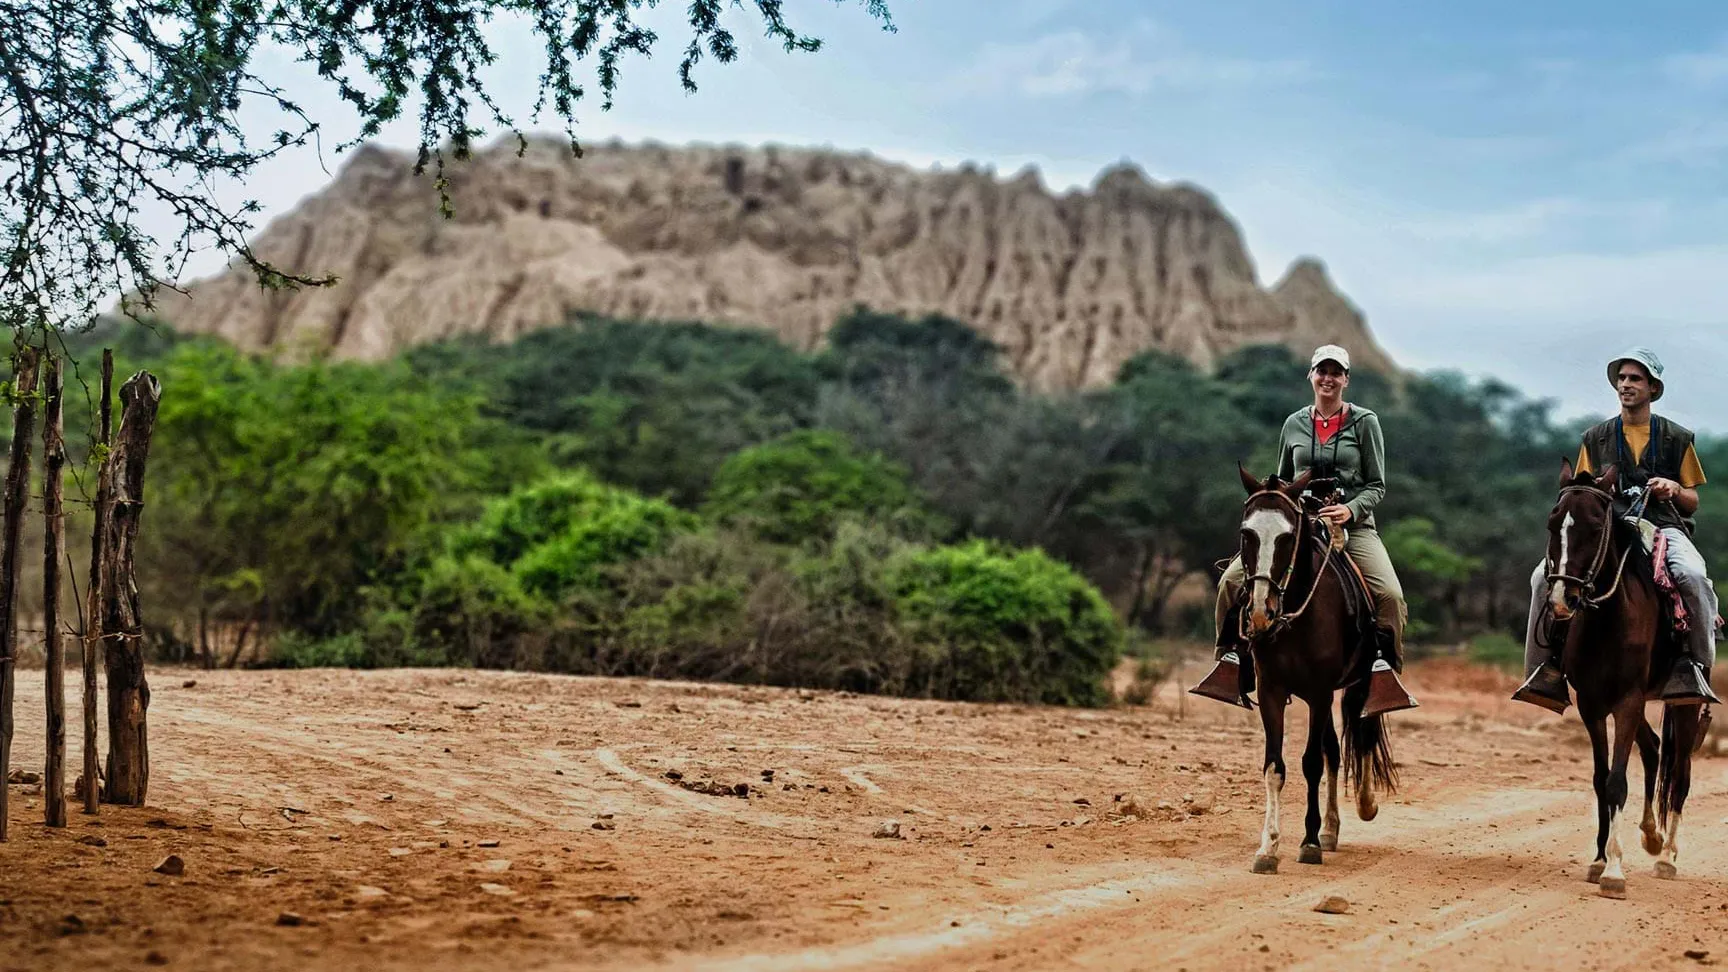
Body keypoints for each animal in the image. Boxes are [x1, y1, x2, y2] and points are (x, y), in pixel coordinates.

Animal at [1237, 463, 1396, 871]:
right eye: (1247, 534)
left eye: (1287, 536)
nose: (1260, 612)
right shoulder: (1272, 690)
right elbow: (1274, 767)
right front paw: (1268, 848)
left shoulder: (1321, 691)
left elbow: (1311, 763)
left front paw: (1307, 843)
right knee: (1335, 752)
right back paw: (1330, 830)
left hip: (1357, 684)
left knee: (1362, 734)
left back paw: (1363, 806)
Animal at [1541, 456, 1700, 899]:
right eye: (1553, 523)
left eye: (1596, 527)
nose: (1562, 600)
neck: (1608, 620)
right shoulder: (1593, 704)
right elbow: (1600, 780)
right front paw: (1598, 860)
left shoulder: (1628, 700)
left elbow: (1616, 781)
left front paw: (1613, 871)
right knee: (1653, 748)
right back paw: (1650, 835)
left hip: (1683, 704)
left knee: (1679, 774)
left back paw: (1668, 857)